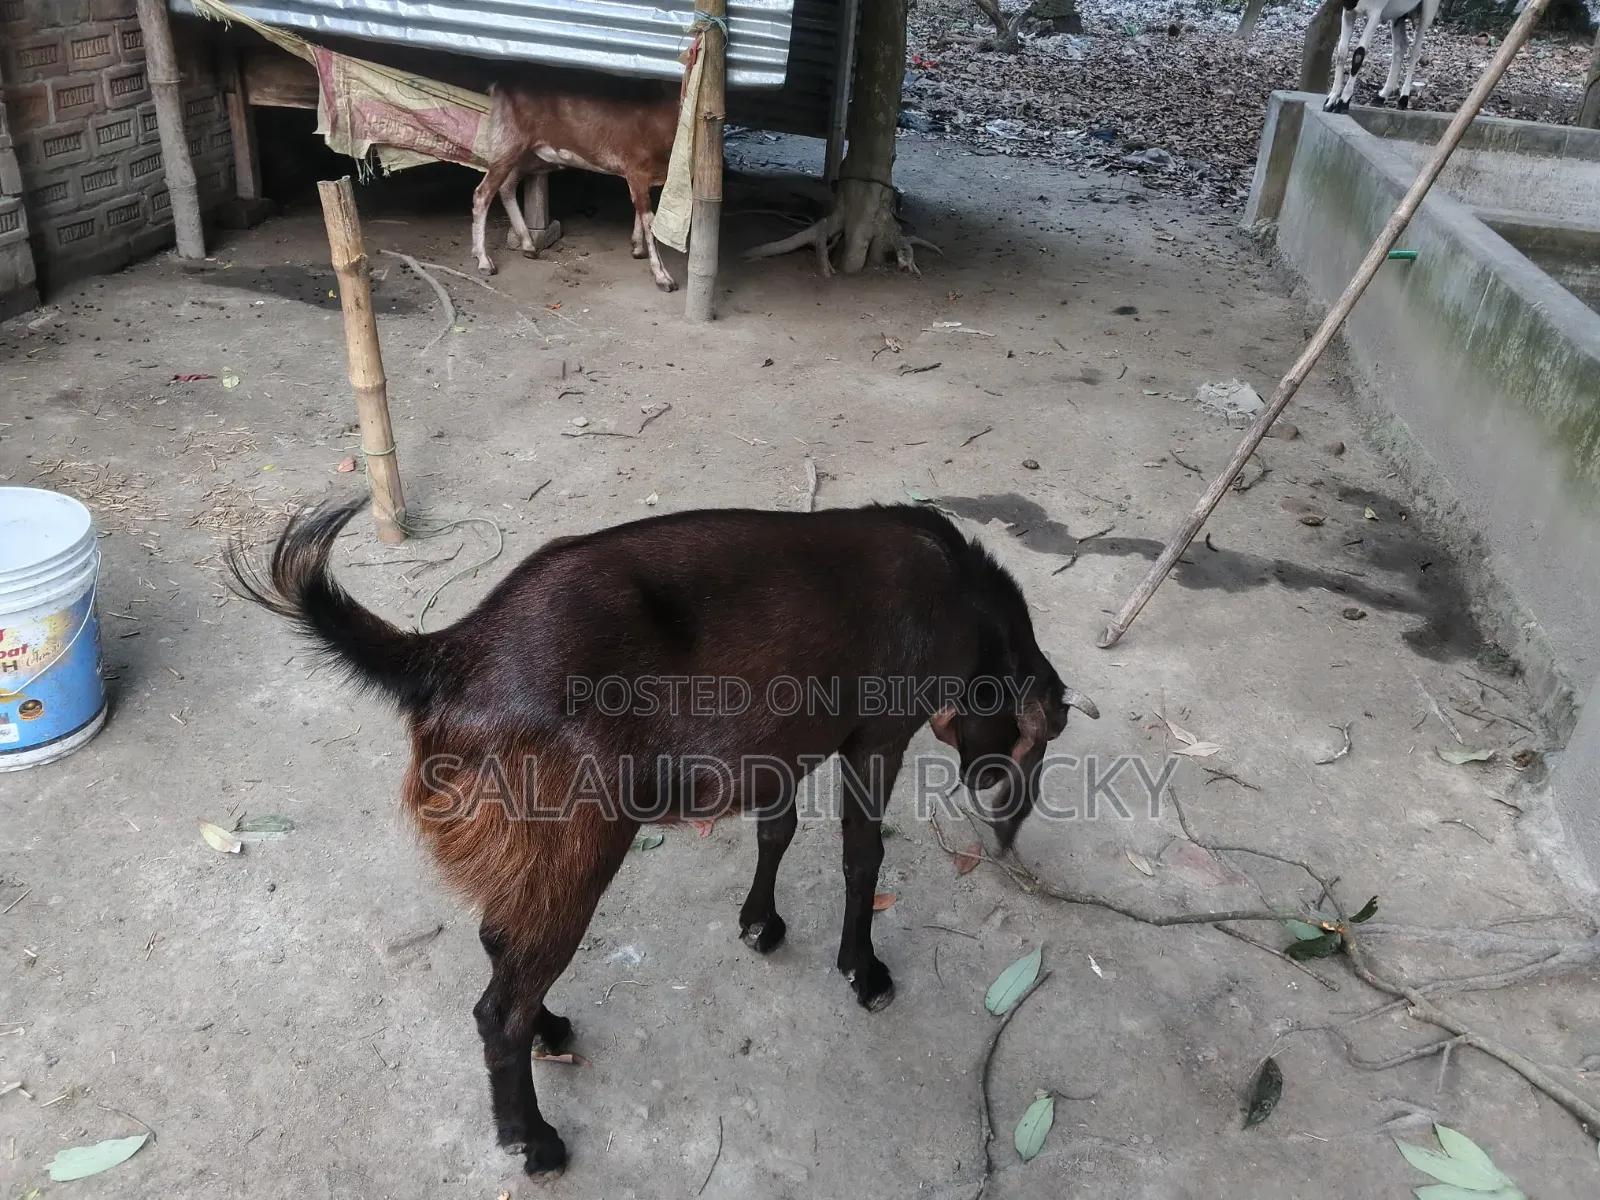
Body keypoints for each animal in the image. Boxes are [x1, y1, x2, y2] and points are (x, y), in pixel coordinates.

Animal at [227, 499, 1098, 1177]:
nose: (991, 789)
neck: (963, 602)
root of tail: (447, 652)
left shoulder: (779, 743)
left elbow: (777, 831)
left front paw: (761, 924)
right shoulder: (879, 732)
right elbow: (862, 854)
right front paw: (863, 969)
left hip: (528, 850)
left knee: (502, 941)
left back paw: (549, 1031)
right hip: (576, 842)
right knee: (497, 1006)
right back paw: (534, 1141)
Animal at [471, 81, 679, 290]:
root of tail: (498, 87)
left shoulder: (644, 175)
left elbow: (640, 212)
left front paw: (637, 248)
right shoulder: (637, 168)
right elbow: (650, 221)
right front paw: (663, 277)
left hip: (528, 154)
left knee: (507, 186)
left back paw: (528, 245)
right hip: (509, 141)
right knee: (483, 193)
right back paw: (484, 262)